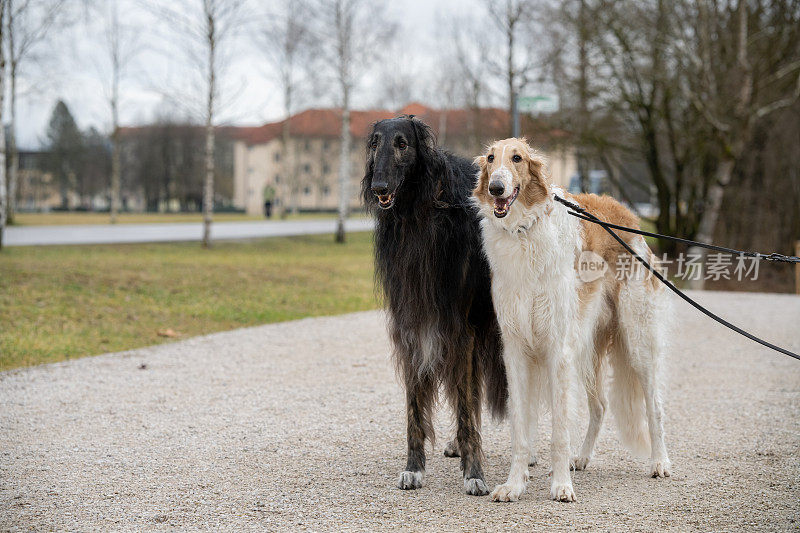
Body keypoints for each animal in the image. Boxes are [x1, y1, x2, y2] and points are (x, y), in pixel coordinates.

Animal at [362, 116, 506, 494]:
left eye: (402, 143)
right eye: (374, 144)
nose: (379, 186)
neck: (418, 215)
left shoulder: (461, 327)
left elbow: (467, 406)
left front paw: (475, 473)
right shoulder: (411, 324)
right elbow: (417, 404)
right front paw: (413, 468)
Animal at [472, 138, 672, 502]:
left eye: (517, 158)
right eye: (491, 159)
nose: (496, 188)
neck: (524, 232)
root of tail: (631, 219)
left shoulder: (557, 349)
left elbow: (559, 432)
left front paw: (561, 486)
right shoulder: (516, 351)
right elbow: (520, 430)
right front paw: (514, 485)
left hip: (636, 343)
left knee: (655, 406)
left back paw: (660, 462)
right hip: (587, 347)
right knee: (601, 406)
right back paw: (582, 458)